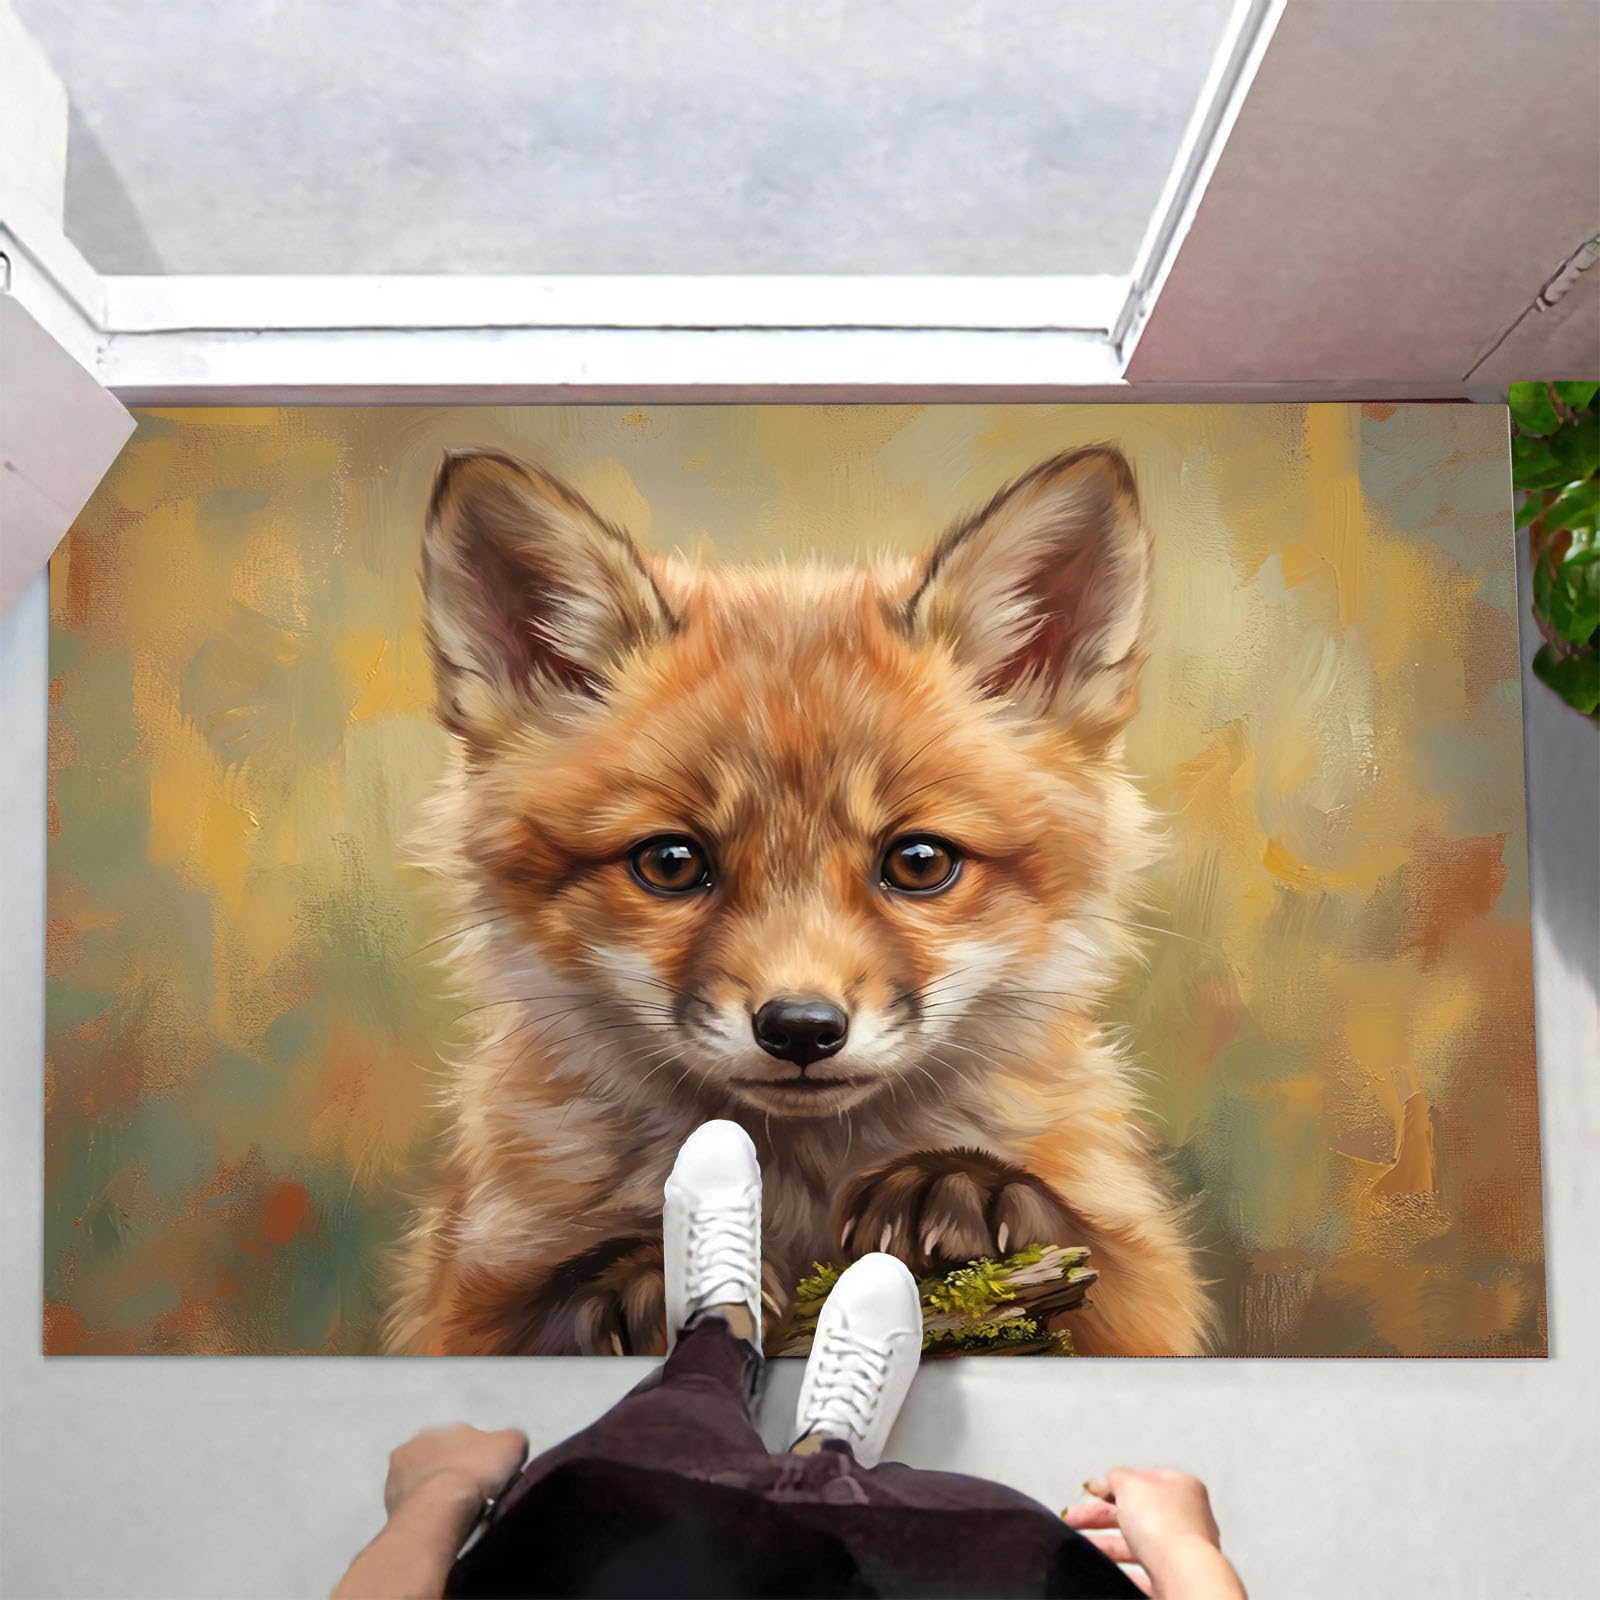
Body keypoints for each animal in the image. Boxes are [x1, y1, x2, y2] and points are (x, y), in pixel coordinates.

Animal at [385, 440, 1213, 1358]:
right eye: (670, 863)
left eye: (919, 862)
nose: (802, 1030)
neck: (800, 1183)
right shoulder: (462, 1285)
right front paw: (646, 1274)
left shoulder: (1148, 1284)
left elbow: (1110, 1268)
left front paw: (962, 1181)